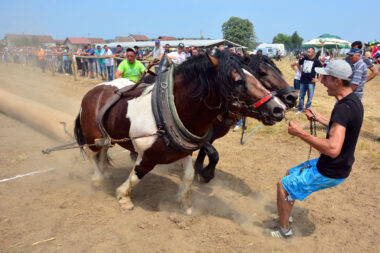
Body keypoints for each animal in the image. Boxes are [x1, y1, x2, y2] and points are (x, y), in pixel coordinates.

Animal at [74, 51, 286, 213]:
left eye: (256, 75)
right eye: (238, 80)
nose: (279, 108)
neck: (169, 112)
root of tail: (94, 91)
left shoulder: (185, 150)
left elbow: (190, 175)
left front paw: (184, 202)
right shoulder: (147, 156)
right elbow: (136, 175)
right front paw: (123, 197)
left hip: (107, 137)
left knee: (103, 151)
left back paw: (104, 171)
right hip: (93, 137)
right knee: (92, 153)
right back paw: (98, 178)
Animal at [194, 54, 298, 183]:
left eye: (278, 71)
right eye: (262, 73)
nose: (292, 97)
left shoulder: (211, 138)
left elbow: (206, 156)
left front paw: (201, 172)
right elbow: (213, 155)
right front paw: (206, 173)